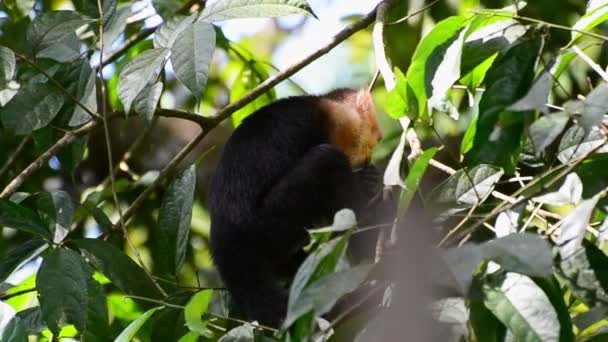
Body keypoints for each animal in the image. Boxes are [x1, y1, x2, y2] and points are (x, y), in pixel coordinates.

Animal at [207, 89, 382, 328]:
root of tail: (223, 236)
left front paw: (370, 179)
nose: (369, 156)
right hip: (267, 222)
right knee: (326, 159)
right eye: (373, 141)